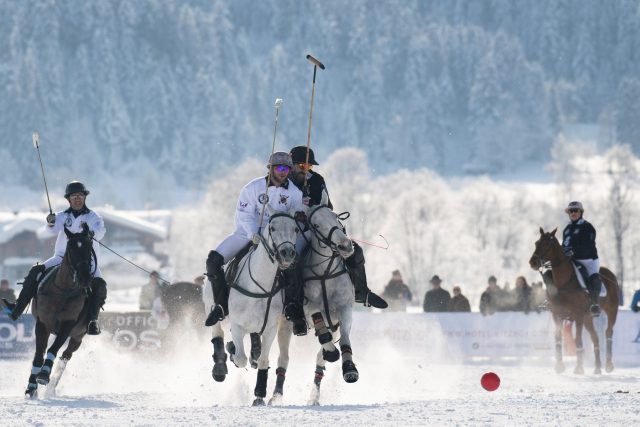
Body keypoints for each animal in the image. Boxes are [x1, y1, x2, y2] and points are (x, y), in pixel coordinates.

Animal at [26, 224, 95, 398]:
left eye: (89, 246)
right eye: (70, 246)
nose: (85, 277)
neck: (63, 291)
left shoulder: (68, 324)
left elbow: (53, 349)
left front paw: (44, 375)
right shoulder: (42, 323)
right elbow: (39, 354)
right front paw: (31, 387)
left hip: (78, 336)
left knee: (65, 356)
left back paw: (51, 387)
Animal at [209, 207, 302, 408]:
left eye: (296, 229)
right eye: (272, 228)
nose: (287, 253)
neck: (261, 285)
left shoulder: (270, 329)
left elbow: (263, 360)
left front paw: (259, 395)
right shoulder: (237, 325)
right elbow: (240, 358)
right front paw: (233, 353)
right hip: (210, 304)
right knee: (217, 332)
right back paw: (220, 367)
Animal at [302, 192, 358, 406]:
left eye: (336, 218)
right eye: (316, 225)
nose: (345, 245)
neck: (325, 273)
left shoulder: (344, 308)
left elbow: (345, 337)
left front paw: (350, 369)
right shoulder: (307, 306)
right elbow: (320, 324)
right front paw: (332, 352)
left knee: (320, 360)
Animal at [528, 227, 616, 374]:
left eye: (547, 244)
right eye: (536, 243)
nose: (533, 262)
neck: (563, 282)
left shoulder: (578, 315)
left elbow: (577, 339)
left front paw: (579, 367)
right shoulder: (557, 314)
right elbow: (558, 337)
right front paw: (559, 366)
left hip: (611, 311)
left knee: (608, 333)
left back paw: (608, 365)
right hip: (588, 318)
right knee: (595, 337)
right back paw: (597, 367)